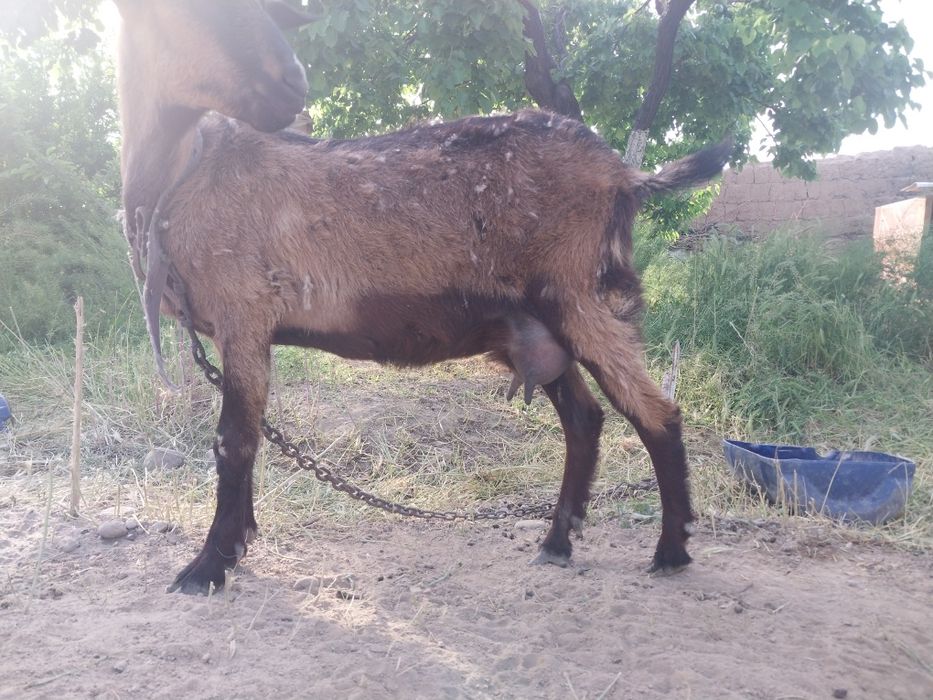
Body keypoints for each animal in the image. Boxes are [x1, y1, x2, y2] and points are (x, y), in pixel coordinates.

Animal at [114, 0, 730, 594]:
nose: (293, 83)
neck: (184, 172)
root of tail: (626, 175)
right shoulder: (240, 328)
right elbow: (249, 433)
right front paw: (237, 546)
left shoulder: (245, 309)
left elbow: (233, 441)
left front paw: (206, 567)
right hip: (537, 324)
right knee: (585, 418)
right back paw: (558, 542)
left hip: (582, 296)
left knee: (656, 414)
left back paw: (671, 550)